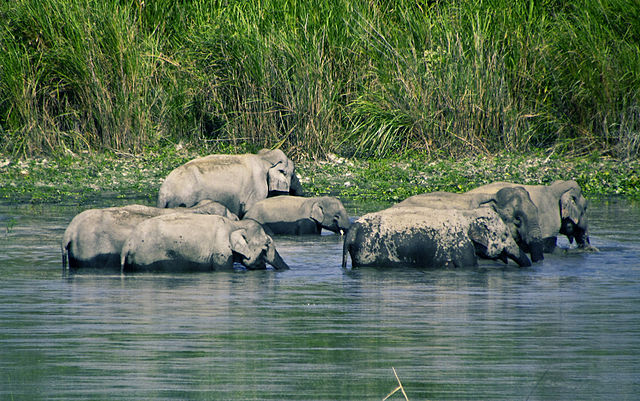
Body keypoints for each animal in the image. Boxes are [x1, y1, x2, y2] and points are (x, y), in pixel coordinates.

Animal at [342, 206, 532, 269]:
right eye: (505, 235)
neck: (467, 215)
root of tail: (352, 229)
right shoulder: (461, 245)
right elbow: (469, 265)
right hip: (368, 251)